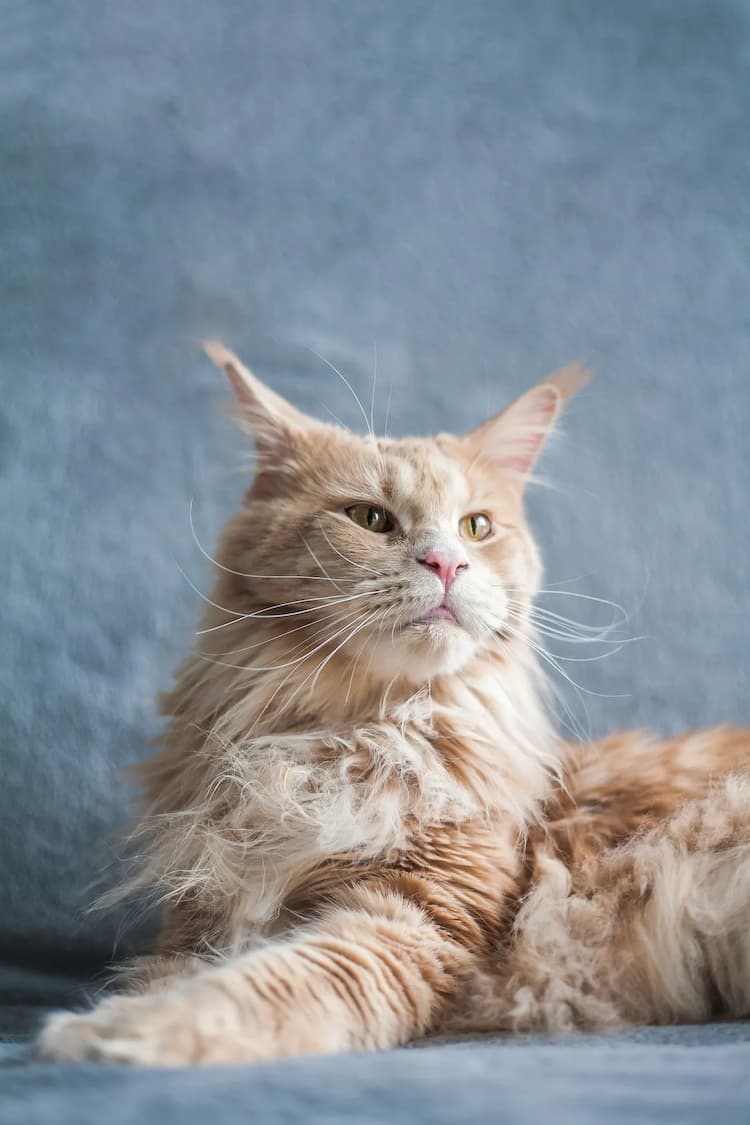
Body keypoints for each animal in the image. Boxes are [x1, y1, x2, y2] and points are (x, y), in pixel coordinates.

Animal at [36, 348, 750, 1062]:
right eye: (371, 519)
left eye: (476, 527)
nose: (447, 564)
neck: (351, 738)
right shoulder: (203, 918)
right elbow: (174, 974)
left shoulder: (416, 918)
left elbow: (256, 989)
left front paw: (119, 1033)